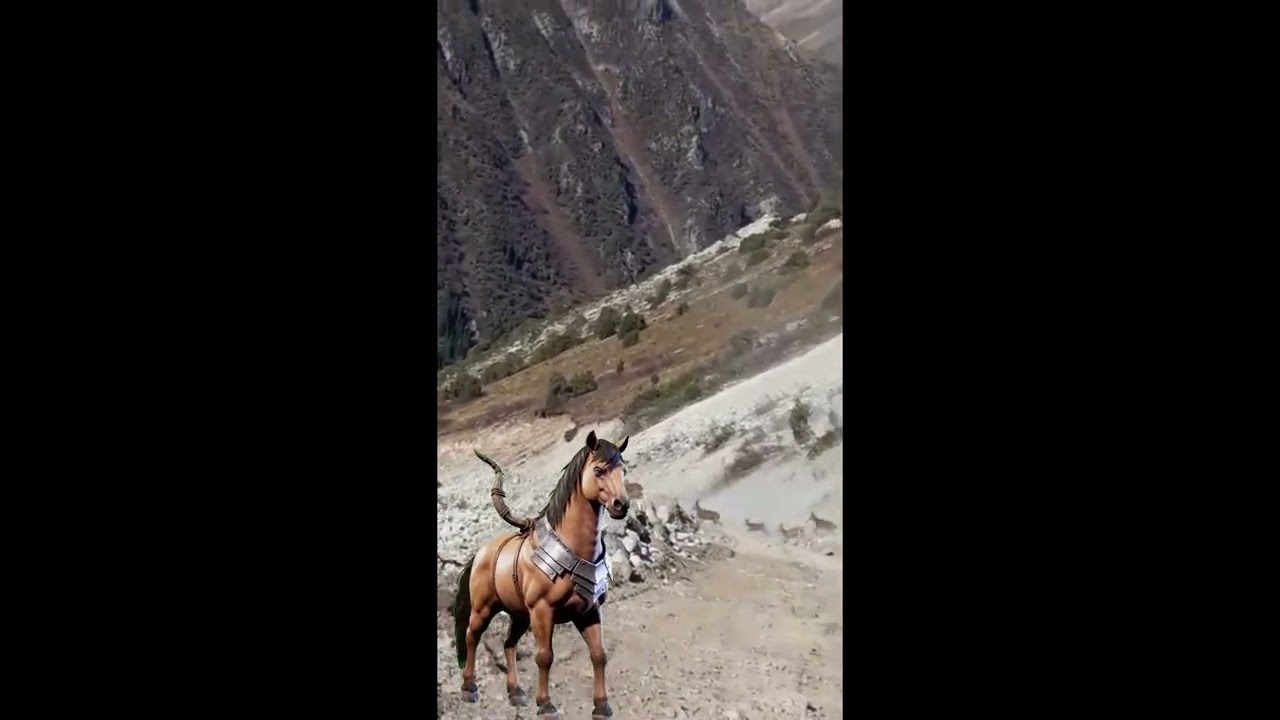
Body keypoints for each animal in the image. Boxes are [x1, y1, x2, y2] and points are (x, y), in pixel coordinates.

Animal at [451, 430, 631, 719]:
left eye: (623, 470)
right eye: (599, 470)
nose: (621, 505)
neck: (573, 547)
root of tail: (480, 554)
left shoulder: (589, 611)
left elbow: (598, 654)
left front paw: (602, 706)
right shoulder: (542, 611)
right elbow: (545, 656)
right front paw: (546, 705)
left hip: (520, 615)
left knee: (508, 643)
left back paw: (516, 693)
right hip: (484, 609)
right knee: (472, 636)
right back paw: (469, 688)